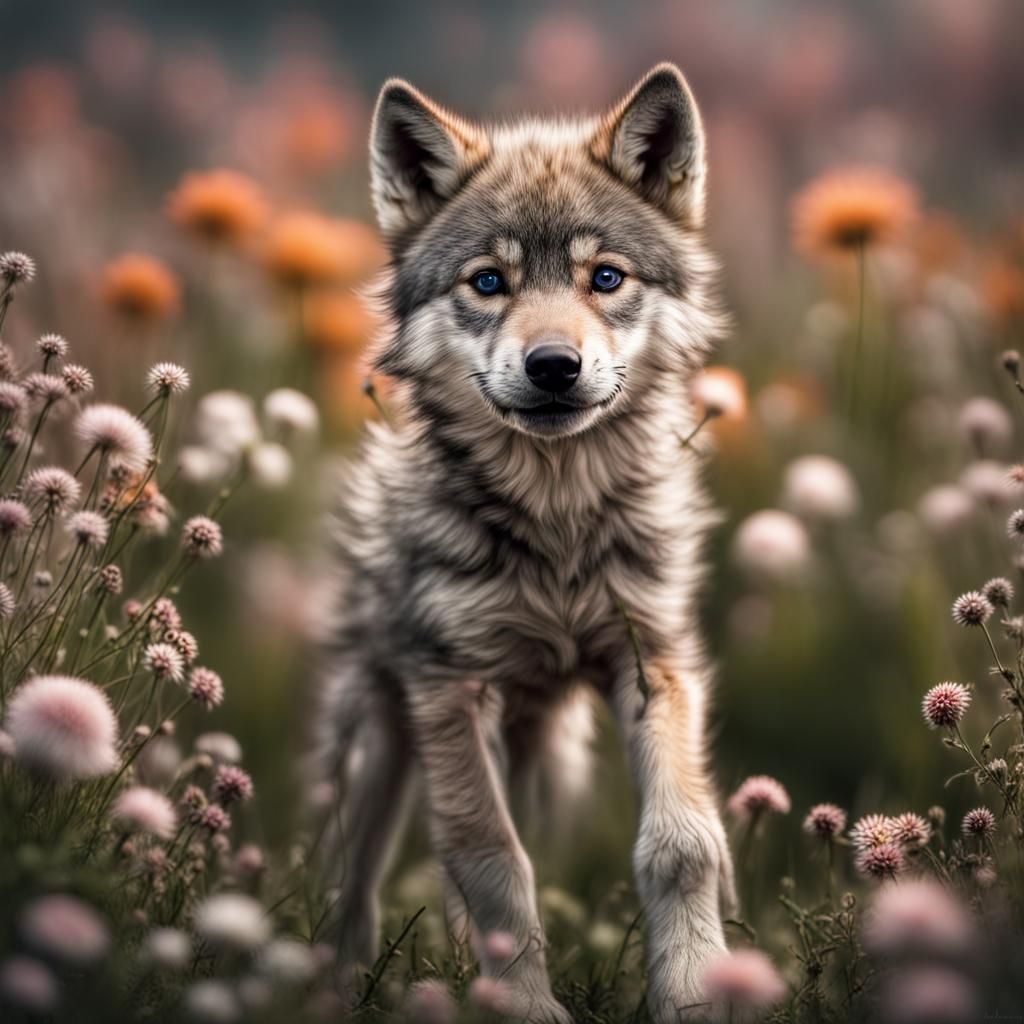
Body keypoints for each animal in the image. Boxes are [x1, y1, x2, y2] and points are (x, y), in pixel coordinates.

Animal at [317, 62, 736, 1022]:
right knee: (349, 887)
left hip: (553, 763)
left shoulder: (653, 660)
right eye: (487, 283)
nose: (553, 366)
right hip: (378, 746)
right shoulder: (450, 691)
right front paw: (528, 1006)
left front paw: (696, 991)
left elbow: (682, 842)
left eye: (606, 277)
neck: (560, 525)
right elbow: (490, 861)